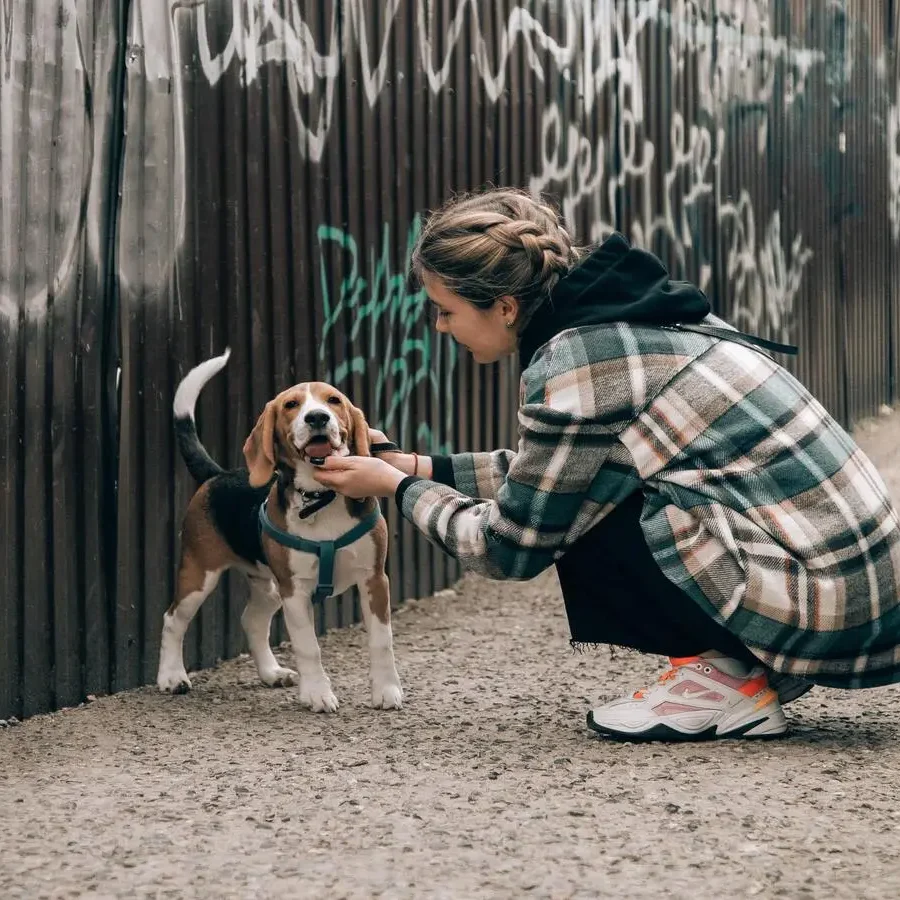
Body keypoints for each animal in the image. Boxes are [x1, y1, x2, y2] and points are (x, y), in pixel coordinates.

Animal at [158, 350, 404, 712]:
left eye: (334, 400)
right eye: (291, 405)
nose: (317, 417)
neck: (319, 498)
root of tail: (217, 474)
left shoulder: (374, 579)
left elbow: (382, 640)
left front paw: (386, 691)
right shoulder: (295, 590)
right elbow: (309, 647)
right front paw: (317, 694)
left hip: (269, 586)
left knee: (251, 619)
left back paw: (271, 673)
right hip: (199, 574)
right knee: (173, 618)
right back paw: (171, 676)